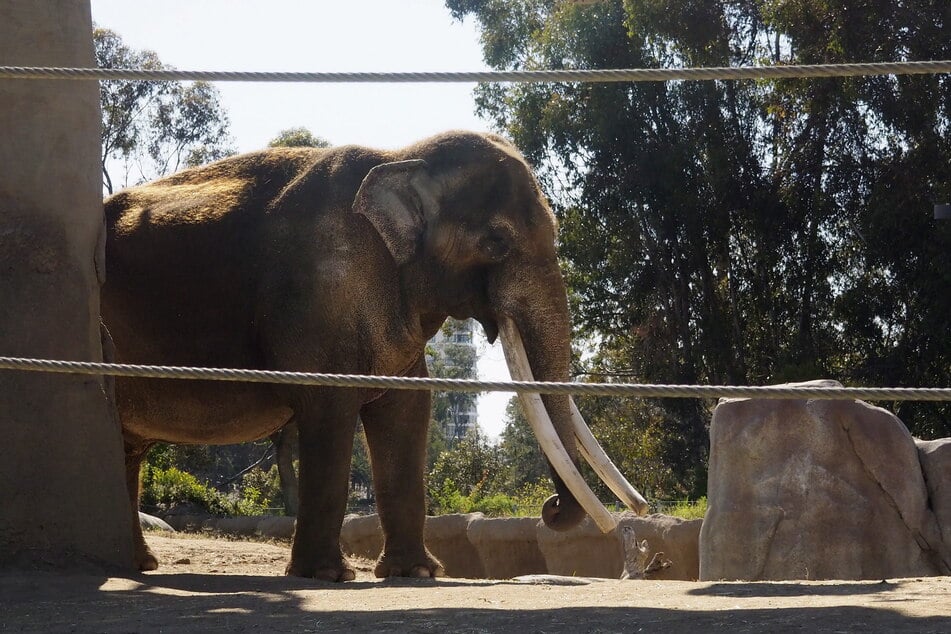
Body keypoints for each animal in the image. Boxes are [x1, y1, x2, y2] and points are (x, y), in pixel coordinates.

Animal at [101, 130, 647, 581]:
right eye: (495, 242)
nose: (550, 508)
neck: (400, 157)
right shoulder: (323, 293)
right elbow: (329, 408)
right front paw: (326, 576)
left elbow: (407, 409)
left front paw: (418, 574)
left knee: (125, 445)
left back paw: (138, 565)